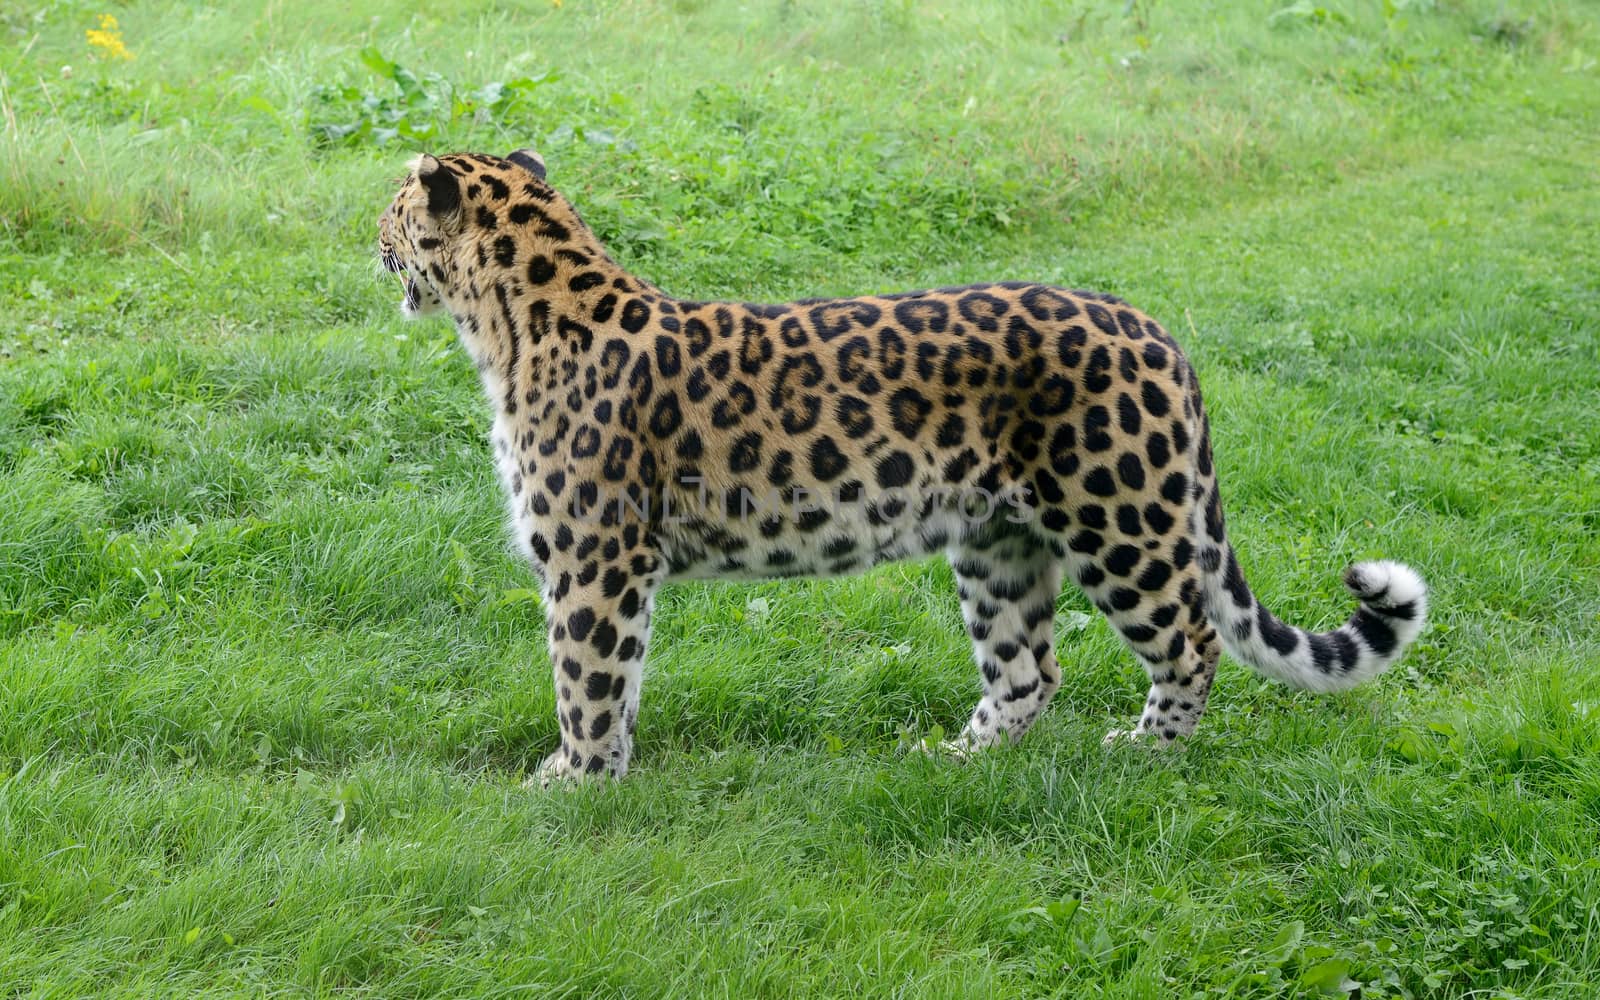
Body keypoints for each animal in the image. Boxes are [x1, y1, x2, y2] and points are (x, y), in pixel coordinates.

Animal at [377, 148, 1440, 784]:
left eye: (393, 209)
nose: (371, 241)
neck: (505, 328)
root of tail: (1154, 328)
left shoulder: (594, 561)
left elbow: (586, 681)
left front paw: (573, 788)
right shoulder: (616, 570)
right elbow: (621, 679)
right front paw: (601, 779)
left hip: (1121, 521)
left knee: (1191, 641)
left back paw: (1147, 755)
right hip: (997, 542)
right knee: (1030, 671)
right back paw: (949, 761)